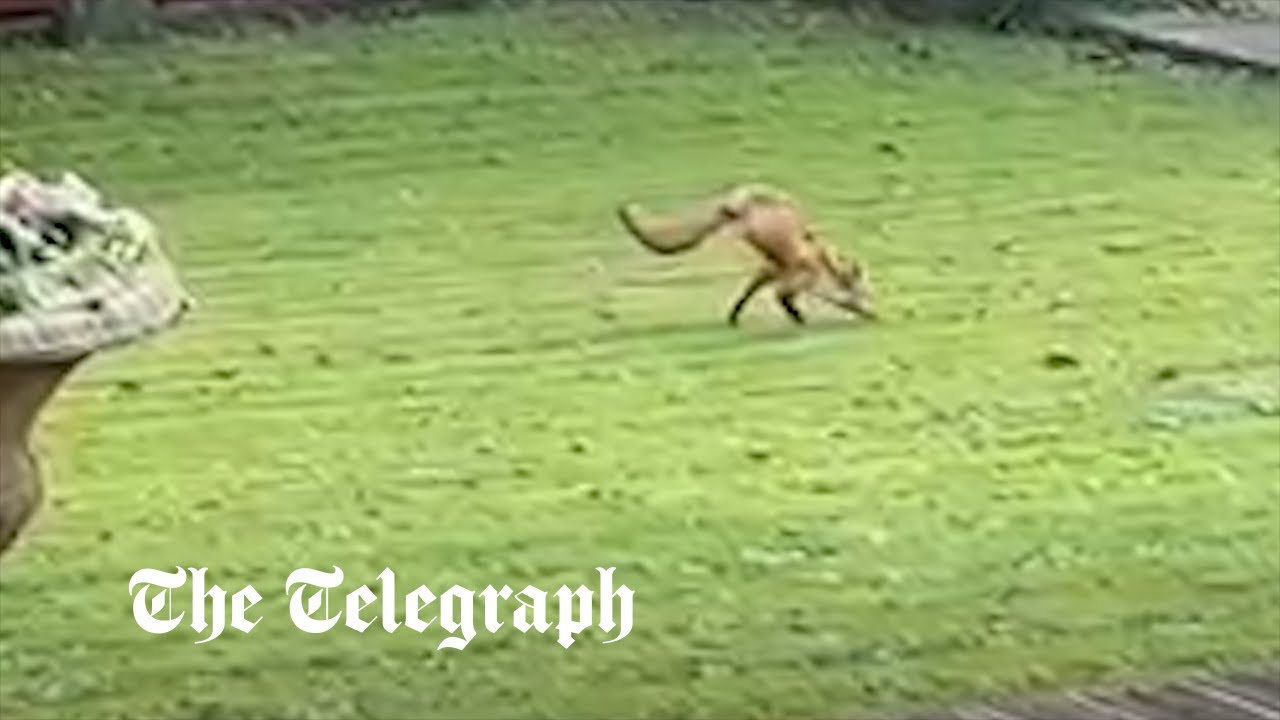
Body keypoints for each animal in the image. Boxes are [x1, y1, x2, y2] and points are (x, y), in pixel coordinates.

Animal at [614, 181, 875, 325]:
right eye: (864, 293)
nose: (874, 313)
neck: (820, 264)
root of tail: (735, 195)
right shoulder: (791, 279)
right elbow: (782, 299)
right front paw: (800, 320)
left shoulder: (769, 271)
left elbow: (744, 295)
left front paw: (733, 318)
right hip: (748, 212)